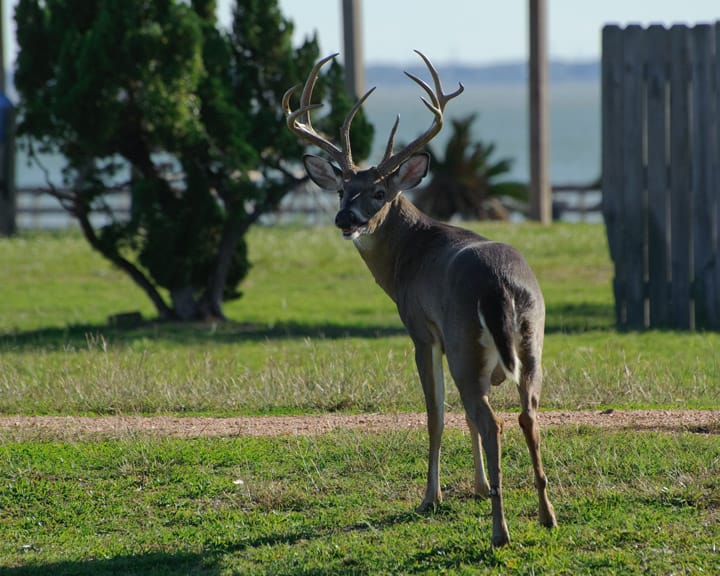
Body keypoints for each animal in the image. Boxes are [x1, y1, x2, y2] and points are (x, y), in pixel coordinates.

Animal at [283, 50, 557, 547]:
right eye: (341, 189)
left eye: (379, 191)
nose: (345, 218)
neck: (408, 258)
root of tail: (501, 286)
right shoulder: (452, 341)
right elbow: (462, 416)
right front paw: (478, 485)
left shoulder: (423, 330)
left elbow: (436, 414)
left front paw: (432, 497)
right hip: (531, 340)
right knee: (525, 414)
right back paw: (546, 515)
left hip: (467, 340)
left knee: (492, 420)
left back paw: (500, 532)